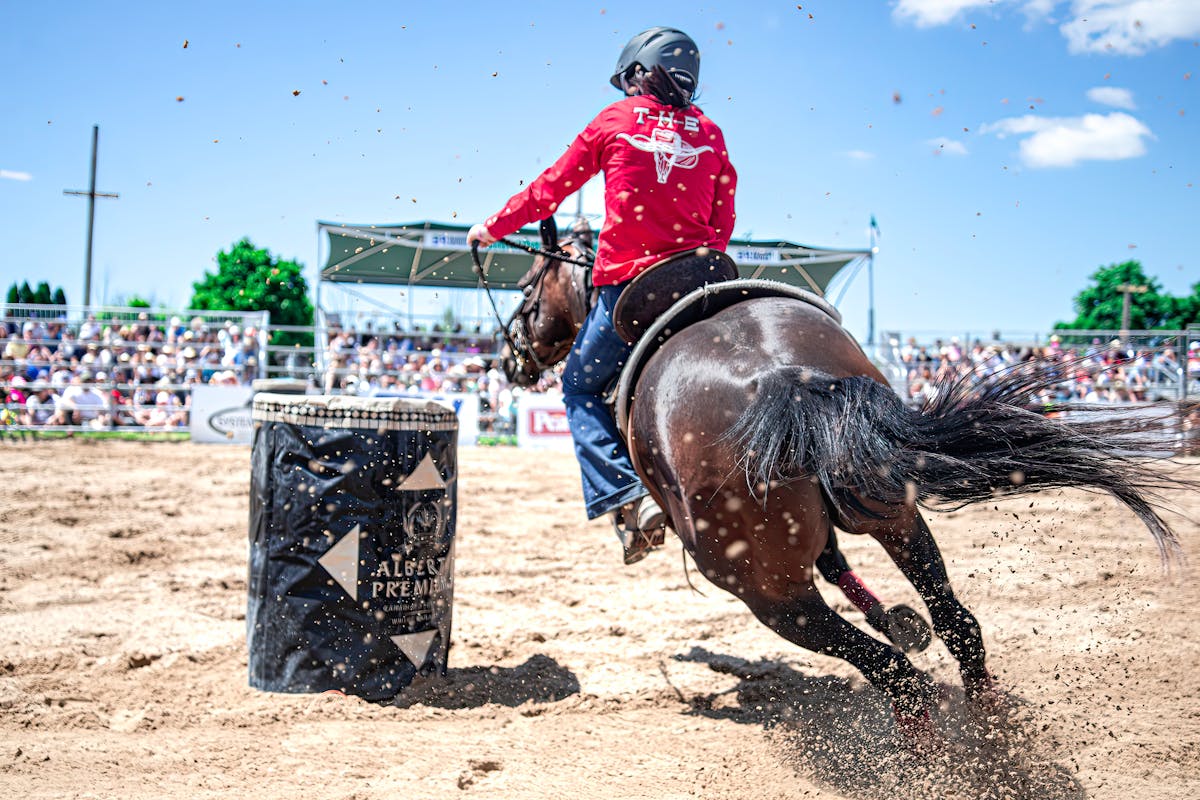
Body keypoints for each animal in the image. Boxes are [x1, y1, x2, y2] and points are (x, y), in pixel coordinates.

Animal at [492, 221, 1185, 743]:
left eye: (528, 286)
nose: (508, 357)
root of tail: (784, 378)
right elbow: (842, 564)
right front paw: (897, 616)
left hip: (766, 592)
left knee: (895, 675)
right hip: (894, 514)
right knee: (957, 625)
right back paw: (992, 731)